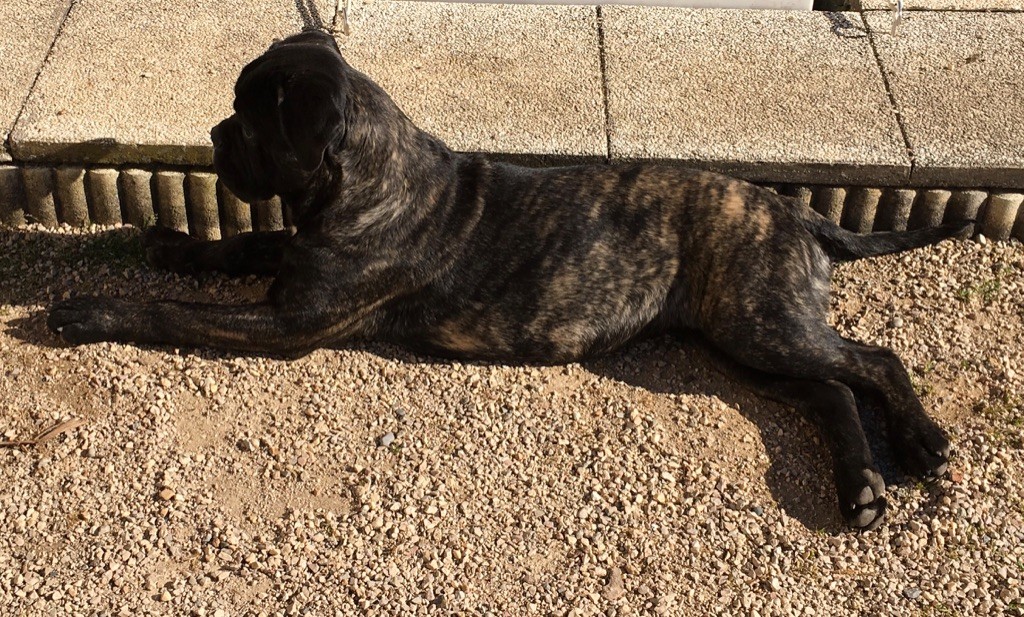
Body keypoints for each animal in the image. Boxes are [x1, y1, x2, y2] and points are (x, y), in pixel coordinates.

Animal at [48, 30, 970, 530]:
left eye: (252, 117)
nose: (212, 135)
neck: (369, 178)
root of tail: (792, 210)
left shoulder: (290, 320)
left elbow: (170, 313)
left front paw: (87, 308)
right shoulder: (294, 266)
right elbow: (237, 247)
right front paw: (169, 240)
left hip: (758, 319)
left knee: (872, 361)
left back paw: (919, 443)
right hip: (743, 338)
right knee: (831, 388)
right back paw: (861, 487)